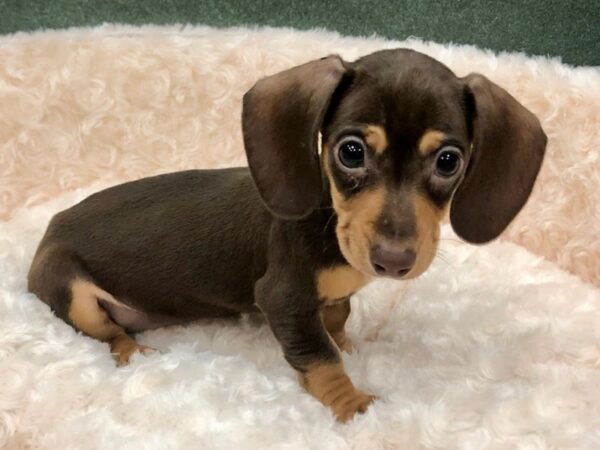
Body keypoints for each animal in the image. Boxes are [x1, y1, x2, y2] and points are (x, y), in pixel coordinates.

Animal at [28, 50, 548, 422]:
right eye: (351, 152)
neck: (330, 223)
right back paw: (133, 353)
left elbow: (336, 319)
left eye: (448, 161)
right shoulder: (283, 299)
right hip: (72, 291)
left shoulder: (330, 298)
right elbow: (319, 358)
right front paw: (352, 406)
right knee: (106, 333)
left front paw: (348, 343)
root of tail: (51, 226)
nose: (394, 260)